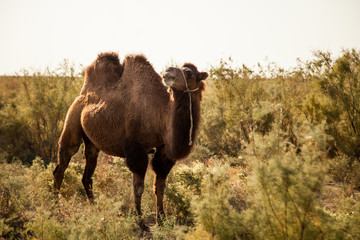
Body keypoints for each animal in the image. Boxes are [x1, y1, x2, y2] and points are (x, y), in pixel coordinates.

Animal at [52, 52, 207, 229]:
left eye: (188, 72)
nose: (168, 72)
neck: (160, 113)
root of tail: (82, 95)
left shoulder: (163, 149)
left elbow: (160, 186)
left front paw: (161, 219)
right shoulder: (136, 148)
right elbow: (138, 188)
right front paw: (141, 222)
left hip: (92, 142)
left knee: (87, 174)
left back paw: (95, 207)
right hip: (72, 120)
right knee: (62, 164)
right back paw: (56, 208)